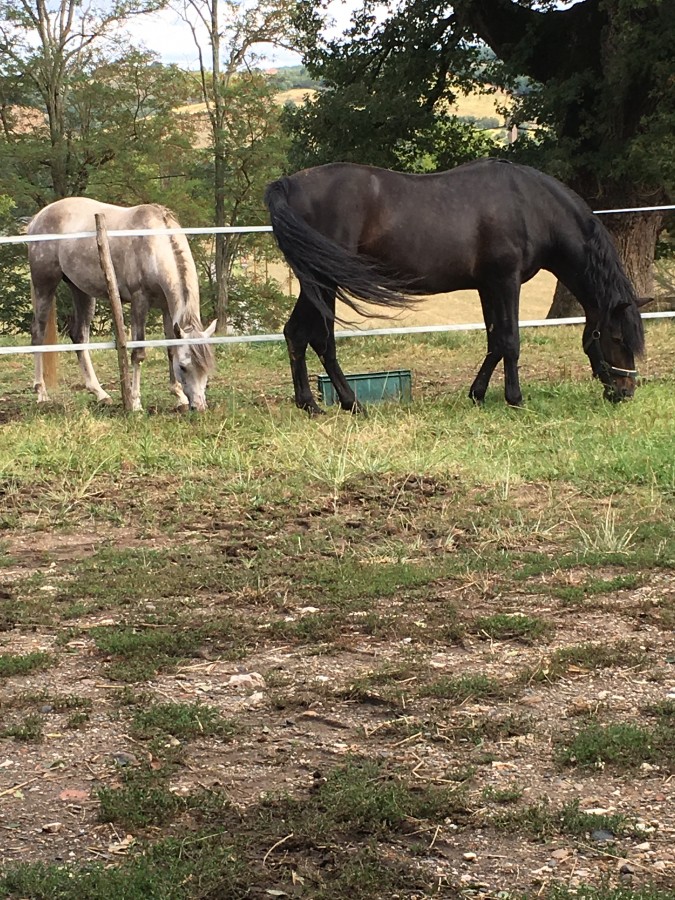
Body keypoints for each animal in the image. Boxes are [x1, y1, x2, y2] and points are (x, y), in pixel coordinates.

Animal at [28, 200, 217, 412]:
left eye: (206, 368)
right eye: (183, 367)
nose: (199, 406)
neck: (153, 245)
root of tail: (38, 217)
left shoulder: (167, 308)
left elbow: (170, 350)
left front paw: (179, 397)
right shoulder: (139, 301)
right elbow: (138, 353)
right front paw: (135, 402)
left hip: (81, 291)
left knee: (79, 336)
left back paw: (100, 394)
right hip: (44, 285)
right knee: (38, 333)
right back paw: (41, 394)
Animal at [262, 160, 644, 414]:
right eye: (615, 338)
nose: (625, 392)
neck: (530, 206)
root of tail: (288, 184)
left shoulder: (488, 286)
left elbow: (495, 341)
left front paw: (477, 394)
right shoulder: (506, 282)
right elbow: (511, 341)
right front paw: (515, 399)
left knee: (300, 334)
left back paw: (317, 404)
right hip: (324, 280)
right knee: (315, 338)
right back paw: (343, 403)